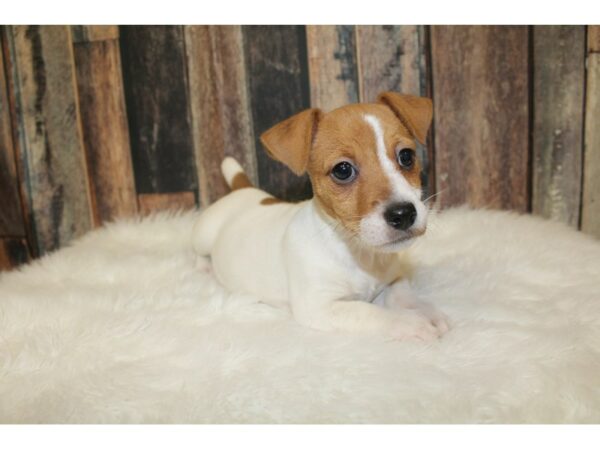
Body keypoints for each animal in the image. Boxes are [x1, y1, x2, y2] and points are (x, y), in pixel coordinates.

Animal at [190, 92, 448, 342]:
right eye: (343, 170)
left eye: (406, 156)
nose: (403, 214)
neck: (358, 253)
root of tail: (244, 188)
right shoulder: (320, 308)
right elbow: (371, 312)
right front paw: (411, 323)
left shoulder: (394, 279)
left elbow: (404, 295)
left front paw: (426, 310)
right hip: (203, 233)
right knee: (195, 250)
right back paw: (204, 267)